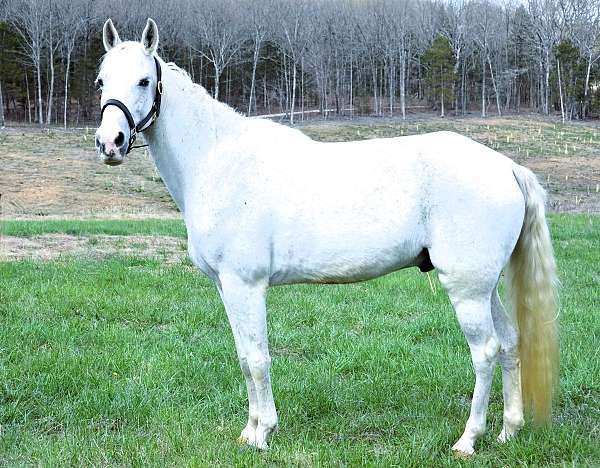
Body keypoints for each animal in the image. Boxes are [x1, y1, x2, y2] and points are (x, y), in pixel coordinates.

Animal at [94, 20, 556, 456]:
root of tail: (506, 167)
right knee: (510, 344)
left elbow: (258, 360)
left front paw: (263, 434)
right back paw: (508, 430)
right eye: (101, 81)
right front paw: (248, 431)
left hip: (466, 290)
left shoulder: (245, 285)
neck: (218, 161)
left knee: (486, 352)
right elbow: (244, 357)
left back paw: (468, 439)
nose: (110, 143)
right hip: (484, 287)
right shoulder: (226, 288)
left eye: (144, 81)